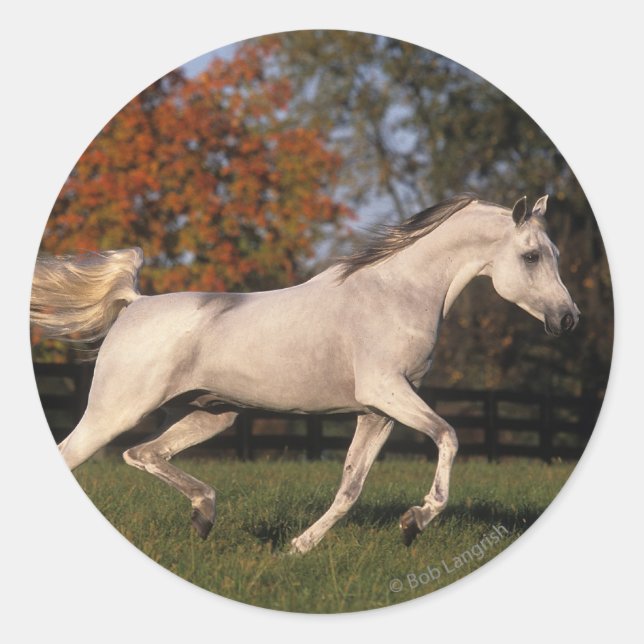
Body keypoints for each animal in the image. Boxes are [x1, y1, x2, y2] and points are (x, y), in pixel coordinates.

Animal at [30, 193, 579, 553]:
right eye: (532, 256)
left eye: (555, 254)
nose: (568, 319)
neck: (396, 293)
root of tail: (134, 304)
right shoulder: (388, 391)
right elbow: (449, 436)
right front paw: (416, 521)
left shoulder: (378, 411)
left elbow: (350, 487)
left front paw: (299, 546)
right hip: (116, 411)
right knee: (80, 453)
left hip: (214, 415)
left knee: (143, 454)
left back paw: (204, 516)